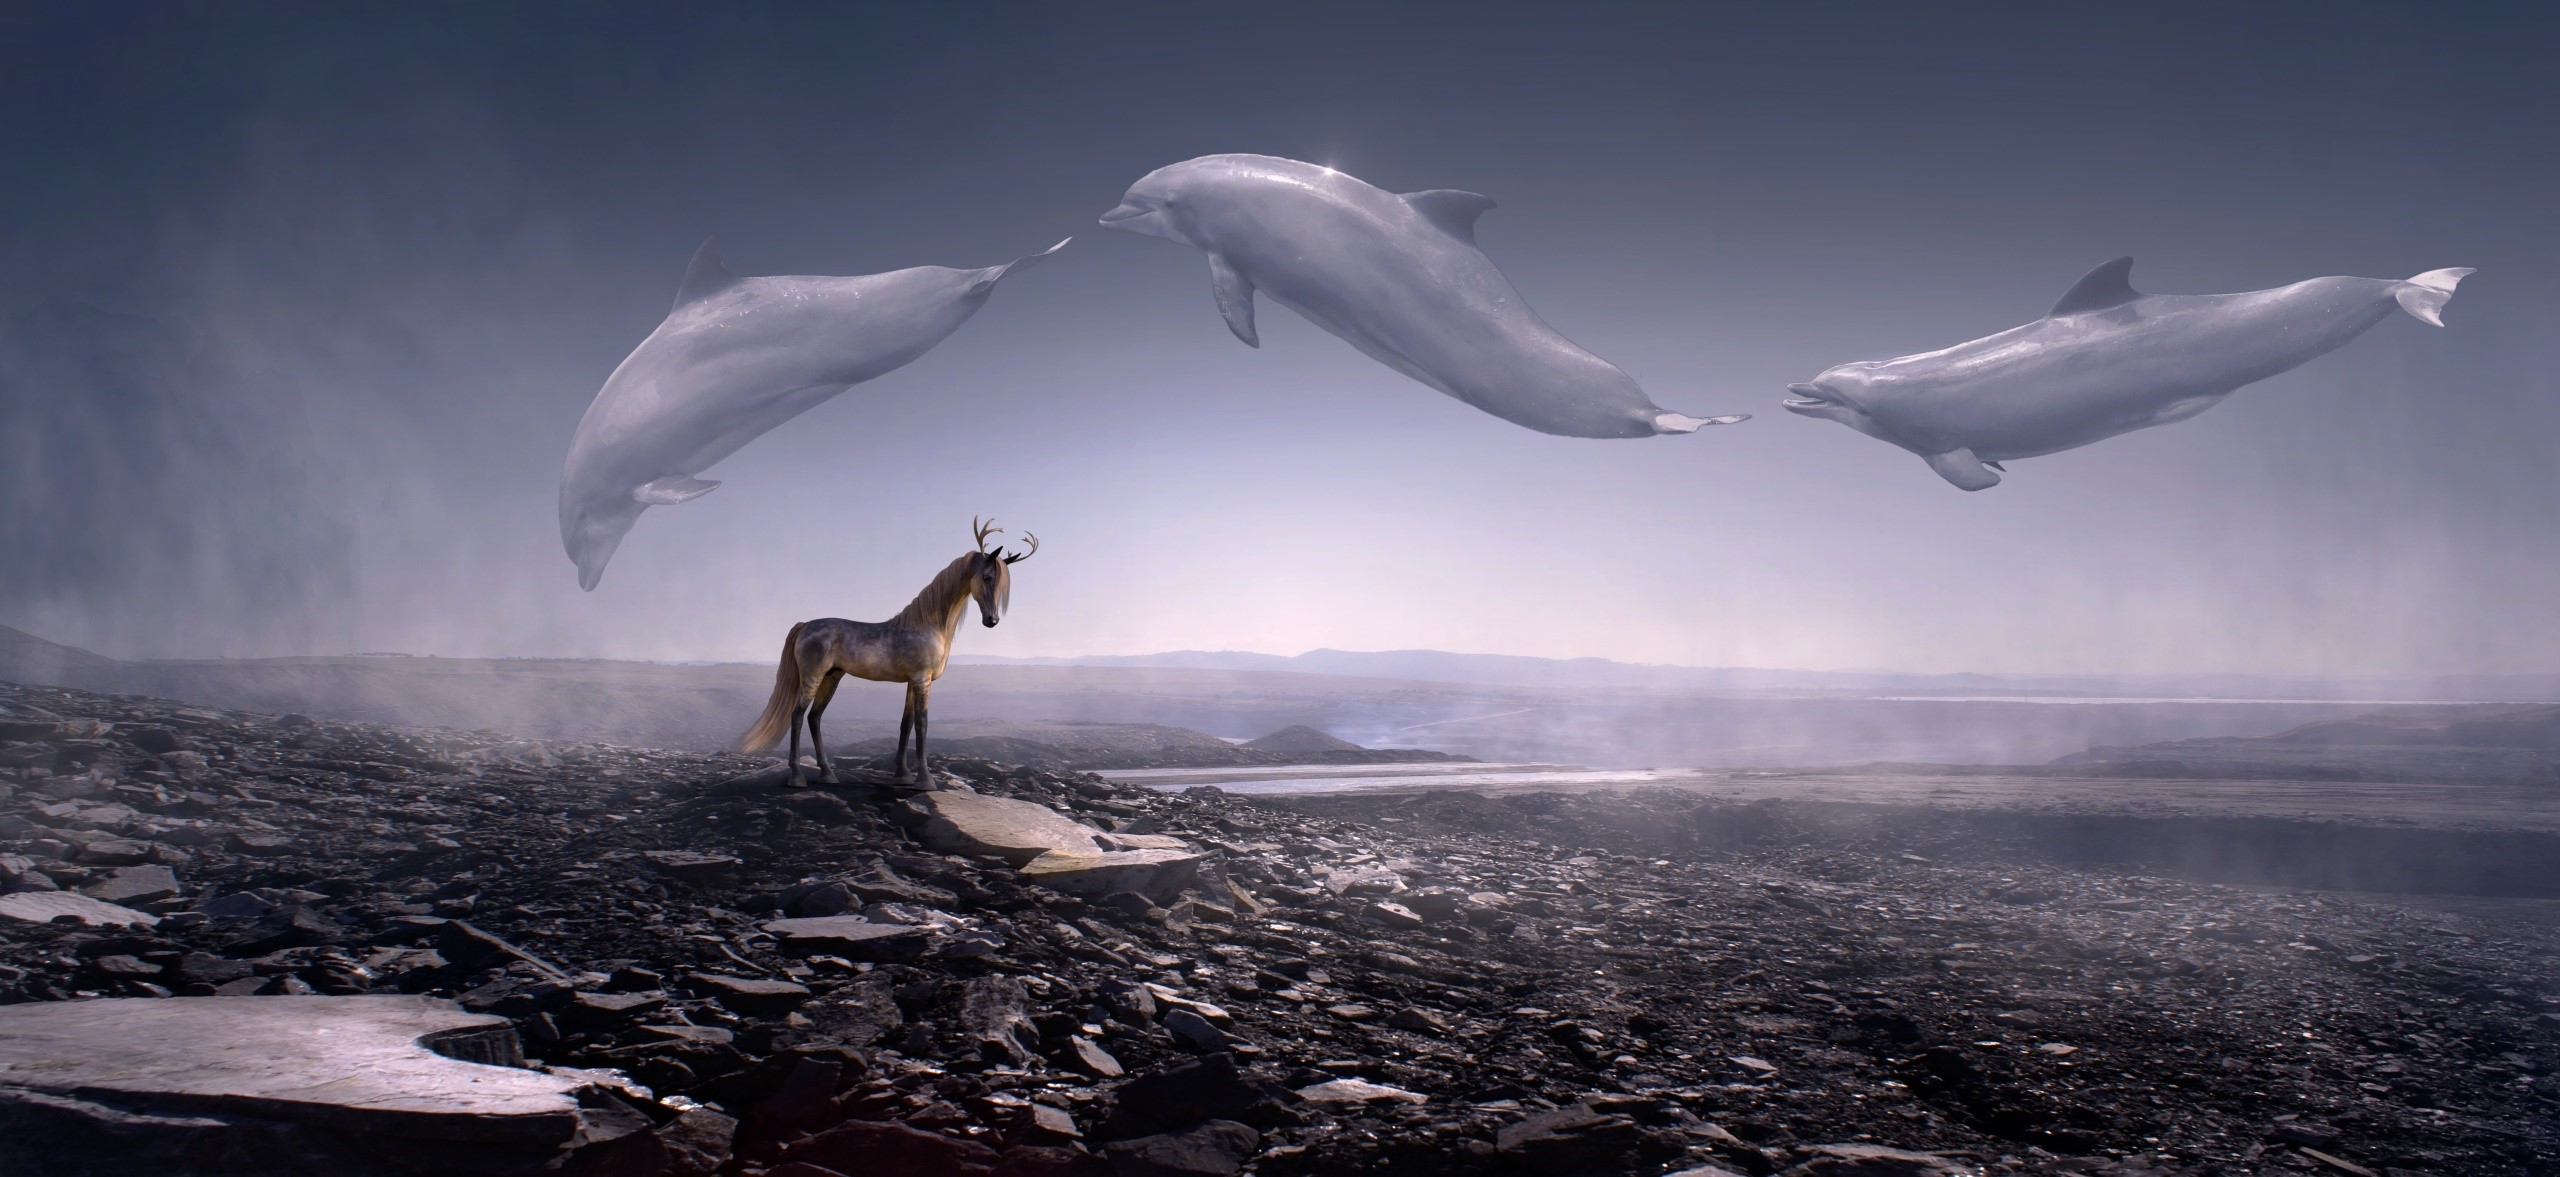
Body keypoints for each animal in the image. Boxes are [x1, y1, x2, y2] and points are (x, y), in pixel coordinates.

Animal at [740, 517, 1035, 786]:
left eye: (1001, 585)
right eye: (986, 577)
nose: (992, 620)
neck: (928, 625)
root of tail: (804, 626)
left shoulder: (912, 682)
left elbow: (906, 724)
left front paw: (903, 774)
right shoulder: (922, 680)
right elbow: (922, 724)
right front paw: (925, 780)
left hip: (832, 677)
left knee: (814, 718)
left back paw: (827, 774)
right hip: (813, 676)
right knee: (798, 716)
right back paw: (797, 776)